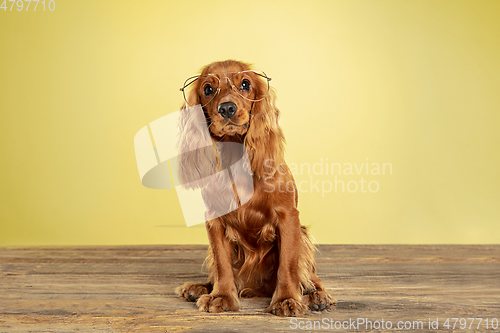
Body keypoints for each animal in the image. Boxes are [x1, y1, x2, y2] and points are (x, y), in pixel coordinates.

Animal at [176, 59, 336, 316]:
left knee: (311, 277)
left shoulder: (288, 216)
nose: (227, 108)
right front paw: (221, 296)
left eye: (245, 84)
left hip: (303, 235)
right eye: (208, 89)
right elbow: (222, 264)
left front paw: (286, 299)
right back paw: (199, 288)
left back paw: (317, 296)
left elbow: (288, 264)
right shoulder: (214, 219)